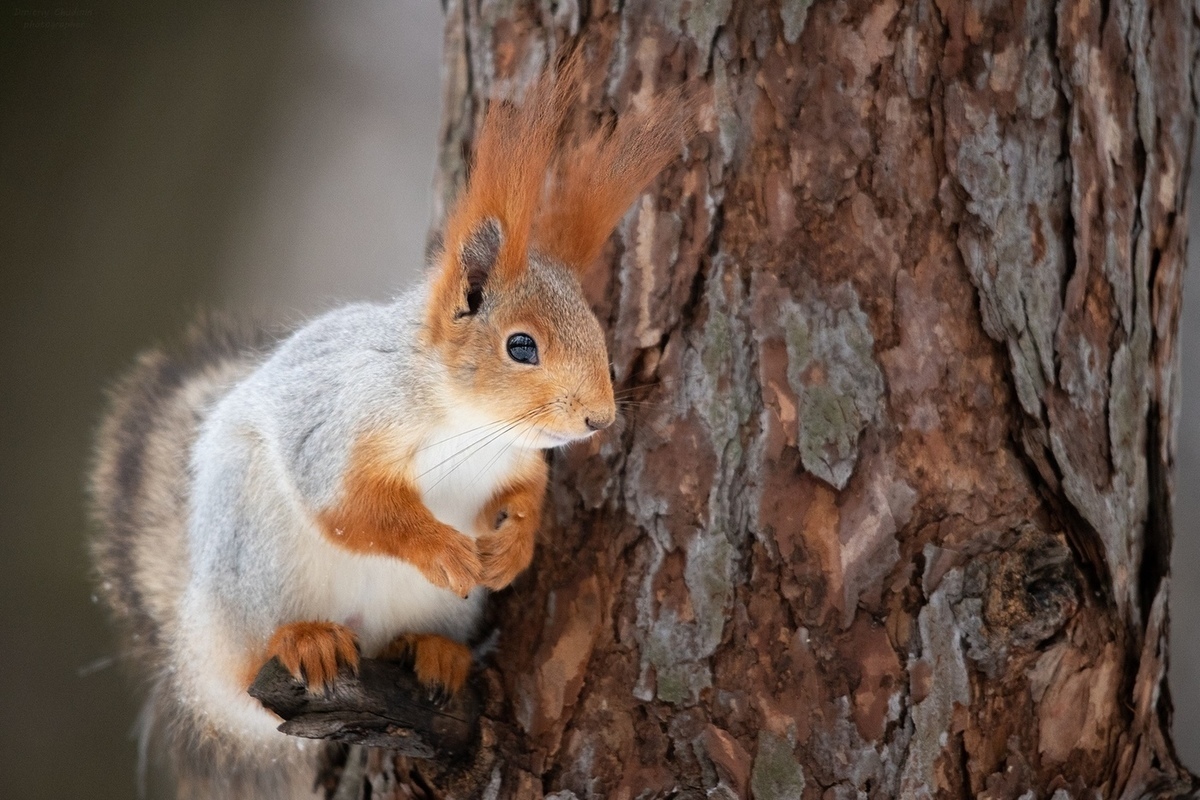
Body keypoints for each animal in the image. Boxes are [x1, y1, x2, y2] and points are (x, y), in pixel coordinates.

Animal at [88, 53, 696, 796]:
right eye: (521, 346)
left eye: (598, 331)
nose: (597, 418)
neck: (468, 421)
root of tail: (197, 651)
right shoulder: (342, 422)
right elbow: (354, 508)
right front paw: (442, 547)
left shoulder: (515, 459)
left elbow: (524, 493)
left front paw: (513, 545)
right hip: (254, 566)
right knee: (250, 666)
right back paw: (304, 640)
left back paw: (433, 652)